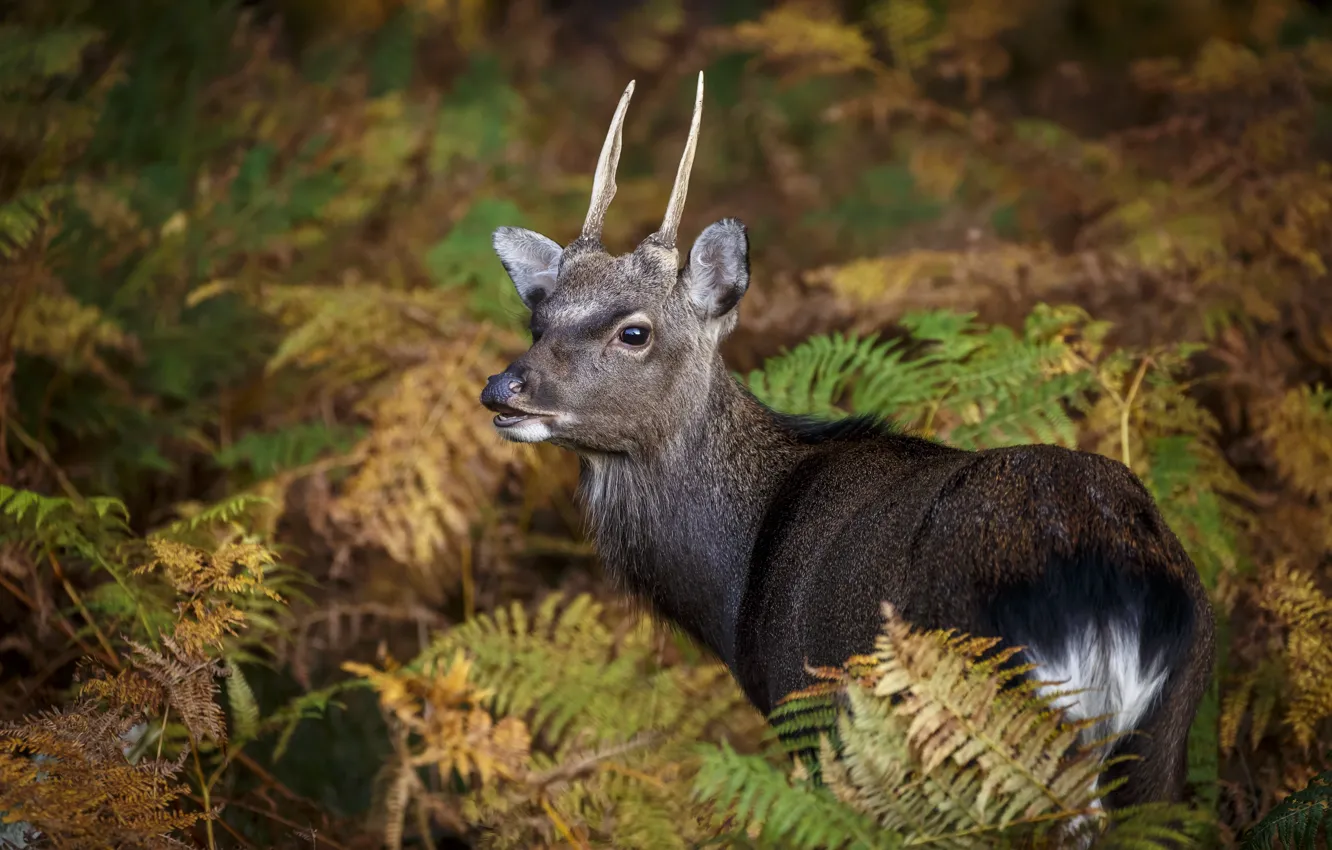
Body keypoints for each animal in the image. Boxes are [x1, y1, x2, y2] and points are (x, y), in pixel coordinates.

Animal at [478, 72, 1215, 817]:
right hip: (1162, 742)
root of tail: (1108, 601)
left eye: (634, 331)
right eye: (538, 319)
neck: (735, 582)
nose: (503, 388)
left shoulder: (808, 712)